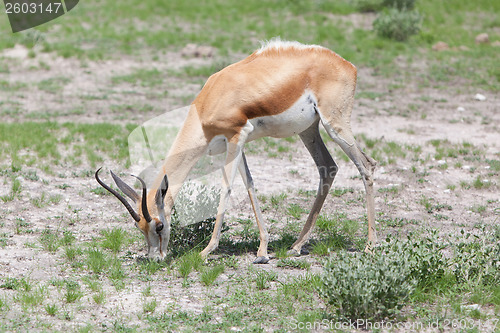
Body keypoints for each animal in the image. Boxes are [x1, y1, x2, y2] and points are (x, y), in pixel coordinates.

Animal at [94, 39, 376, 262]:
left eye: (160, 226)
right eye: (140, 227)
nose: (156, 257)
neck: (208, 104)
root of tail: (348, 65)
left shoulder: (236, 135)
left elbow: (227, 188)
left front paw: (207, 251)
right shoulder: (236, 144)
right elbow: (249, 184)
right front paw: (262, 251)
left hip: (335, 125)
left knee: (366, 165)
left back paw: (370, 246)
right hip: (309, 130)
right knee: (328, 168)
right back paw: (296, 246)